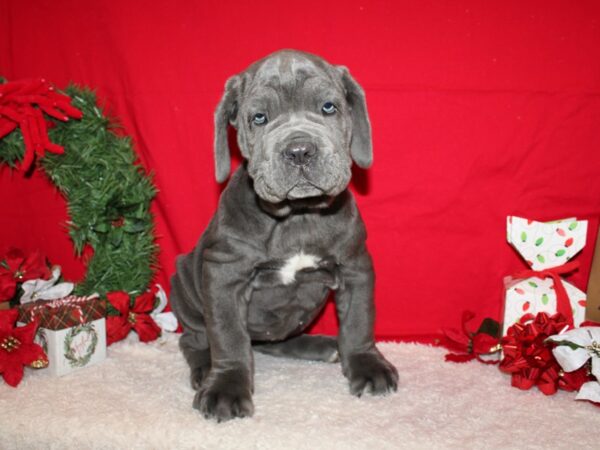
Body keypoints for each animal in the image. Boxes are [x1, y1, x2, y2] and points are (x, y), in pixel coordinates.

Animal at [170, 50, 398, 422]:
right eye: (259, 118)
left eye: (329, 107)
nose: (300, 150)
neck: (297, 216)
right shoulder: (224, 276)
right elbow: (229, 337)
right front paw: (226, 388)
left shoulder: (355, 266)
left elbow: (359, 320)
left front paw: (367, 365)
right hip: (184, 281)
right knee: (195, 339)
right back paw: (205, 369)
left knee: (275, 340)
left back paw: (322, 345)